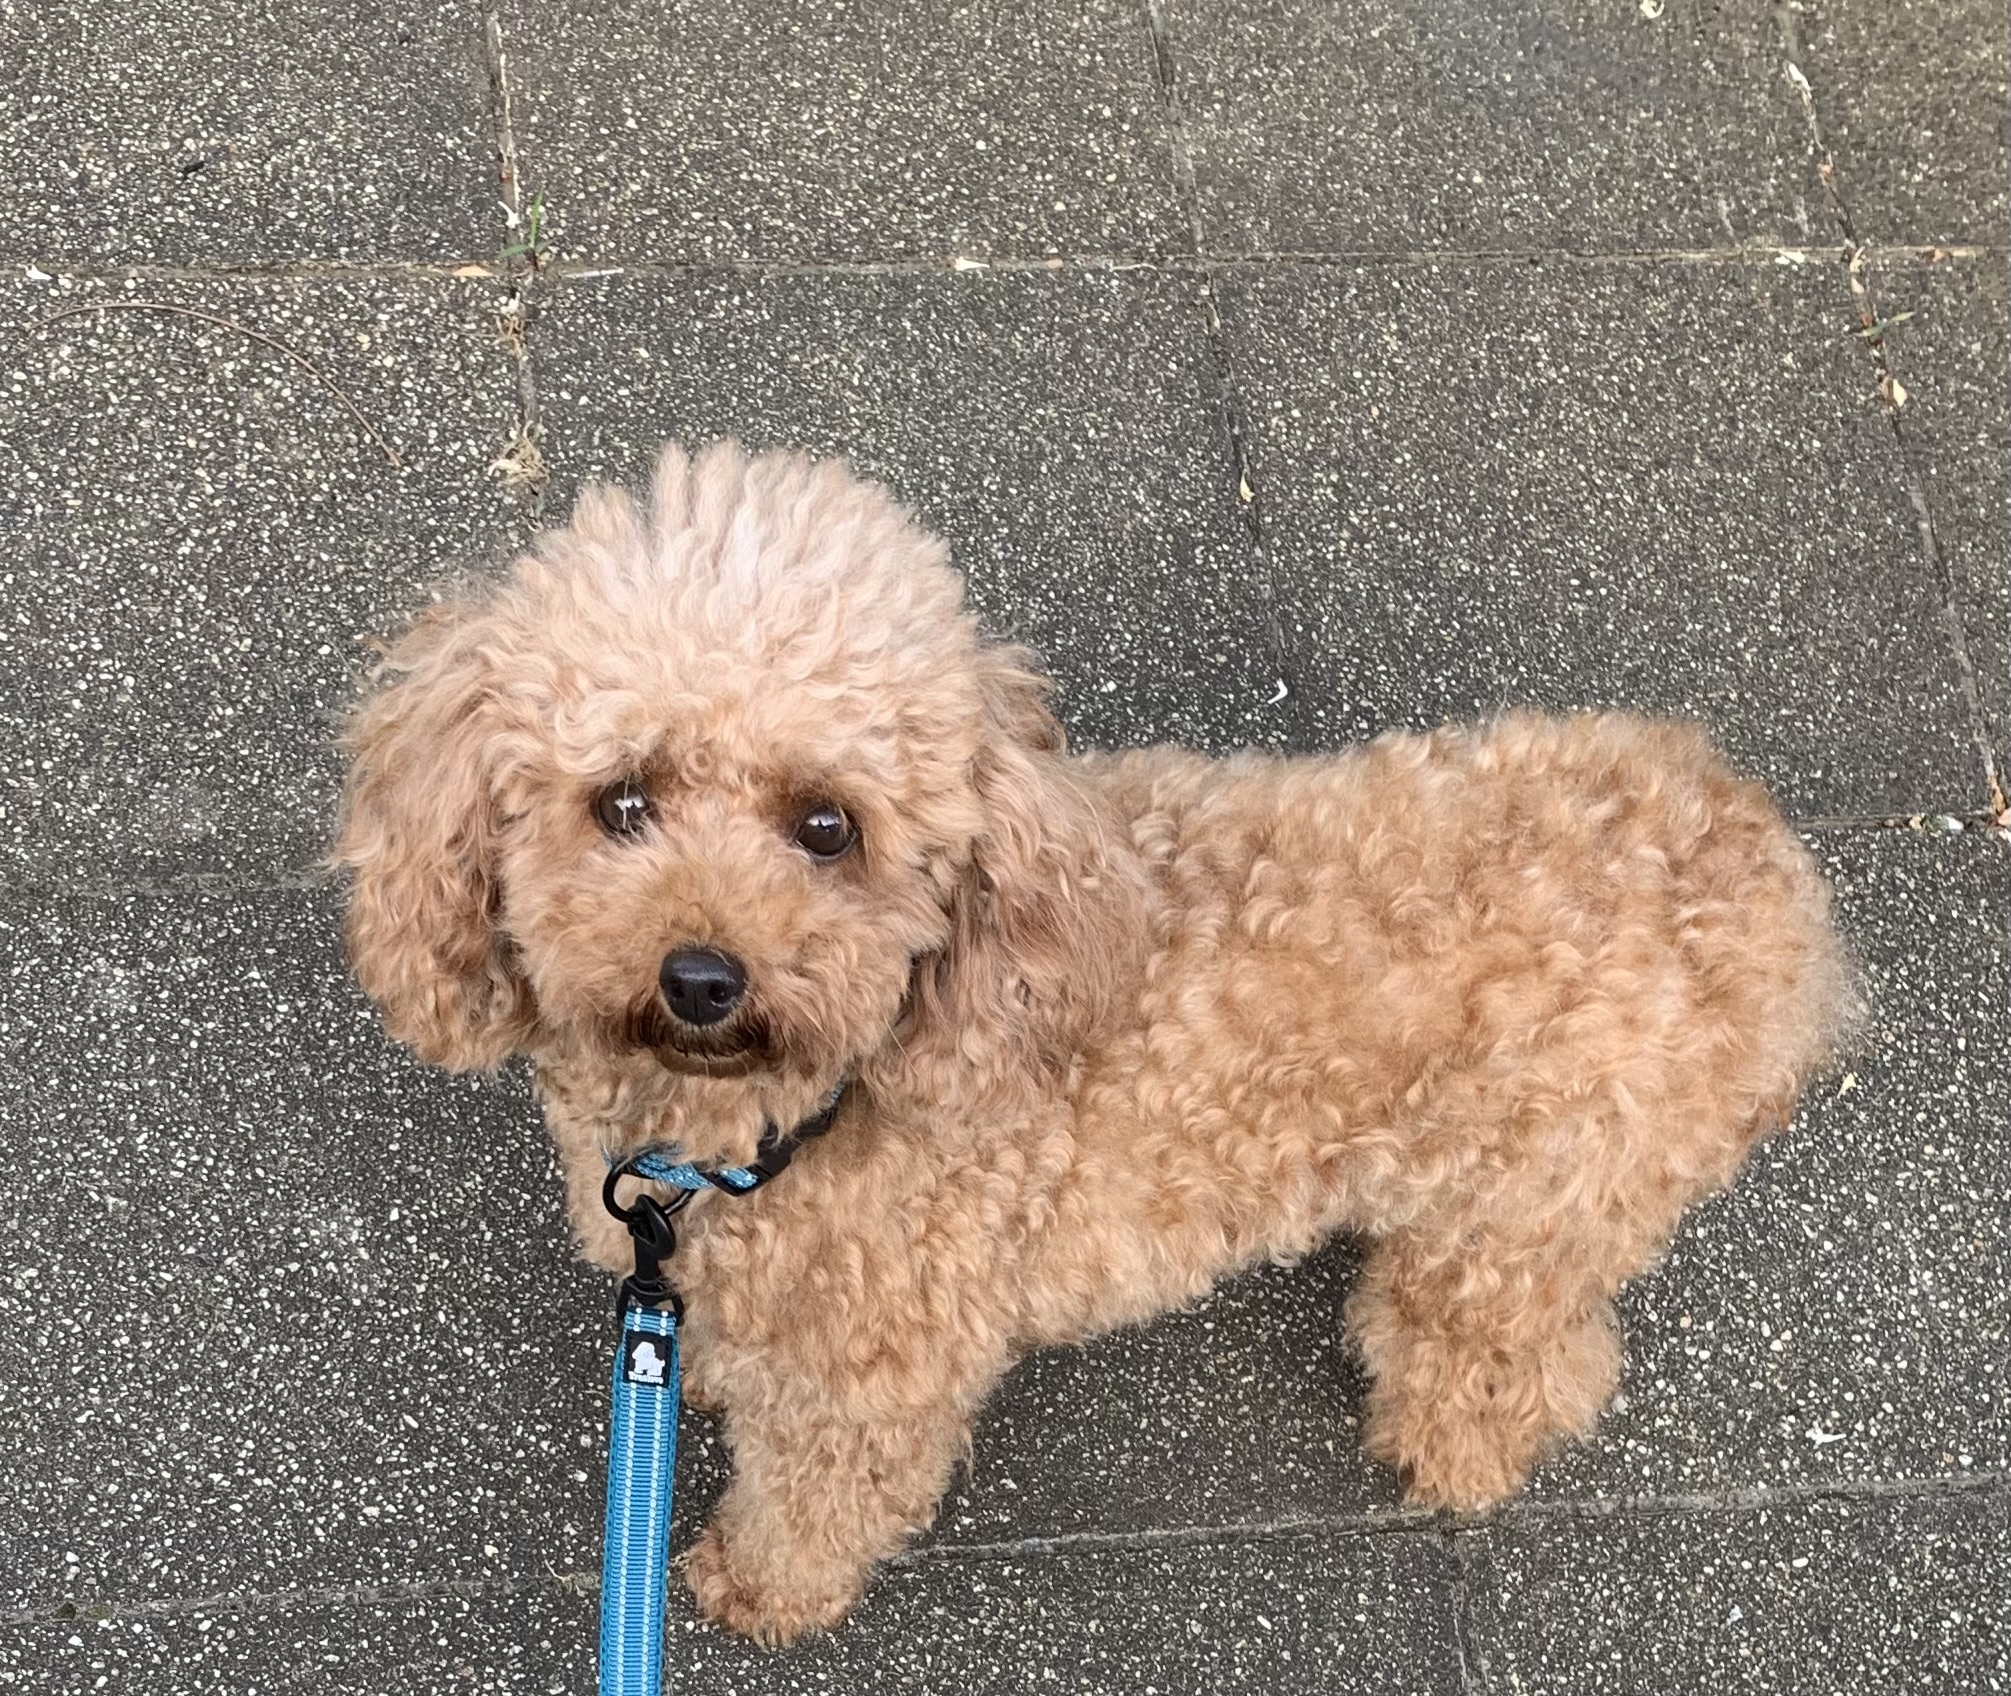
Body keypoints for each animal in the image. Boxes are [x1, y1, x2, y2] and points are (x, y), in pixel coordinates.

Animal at [335, 441, 1854, 1645]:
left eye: (827, 825)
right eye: (622, 801)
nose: (702, 974)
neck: (778, 1118)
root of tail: (1768, 894)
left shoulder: (871, 1383)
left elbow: (816, 1501)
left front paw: (755, 1589)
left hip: (1527, 1207)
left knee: (1526, 1349)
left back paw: (1448, 1447)